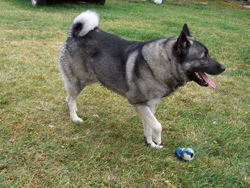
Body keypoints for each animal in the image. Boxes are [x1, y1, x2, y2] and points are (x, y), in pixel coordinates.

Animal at [57, 10, 226, 148]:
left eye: (208, 54)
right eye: (203, 57)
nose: (223, 67)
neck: (163, 63)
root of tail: (73, 35)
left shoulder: (150, 106)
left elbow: (149, 126)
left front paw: (150, 142)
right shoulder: (138, 103)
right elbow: (157, 125)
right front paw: (157, 140)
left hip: (88, 79)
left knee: (69, 97)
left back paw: (75, 111)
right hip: (79, 81)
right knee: (69, 99)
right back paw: (74, 118)